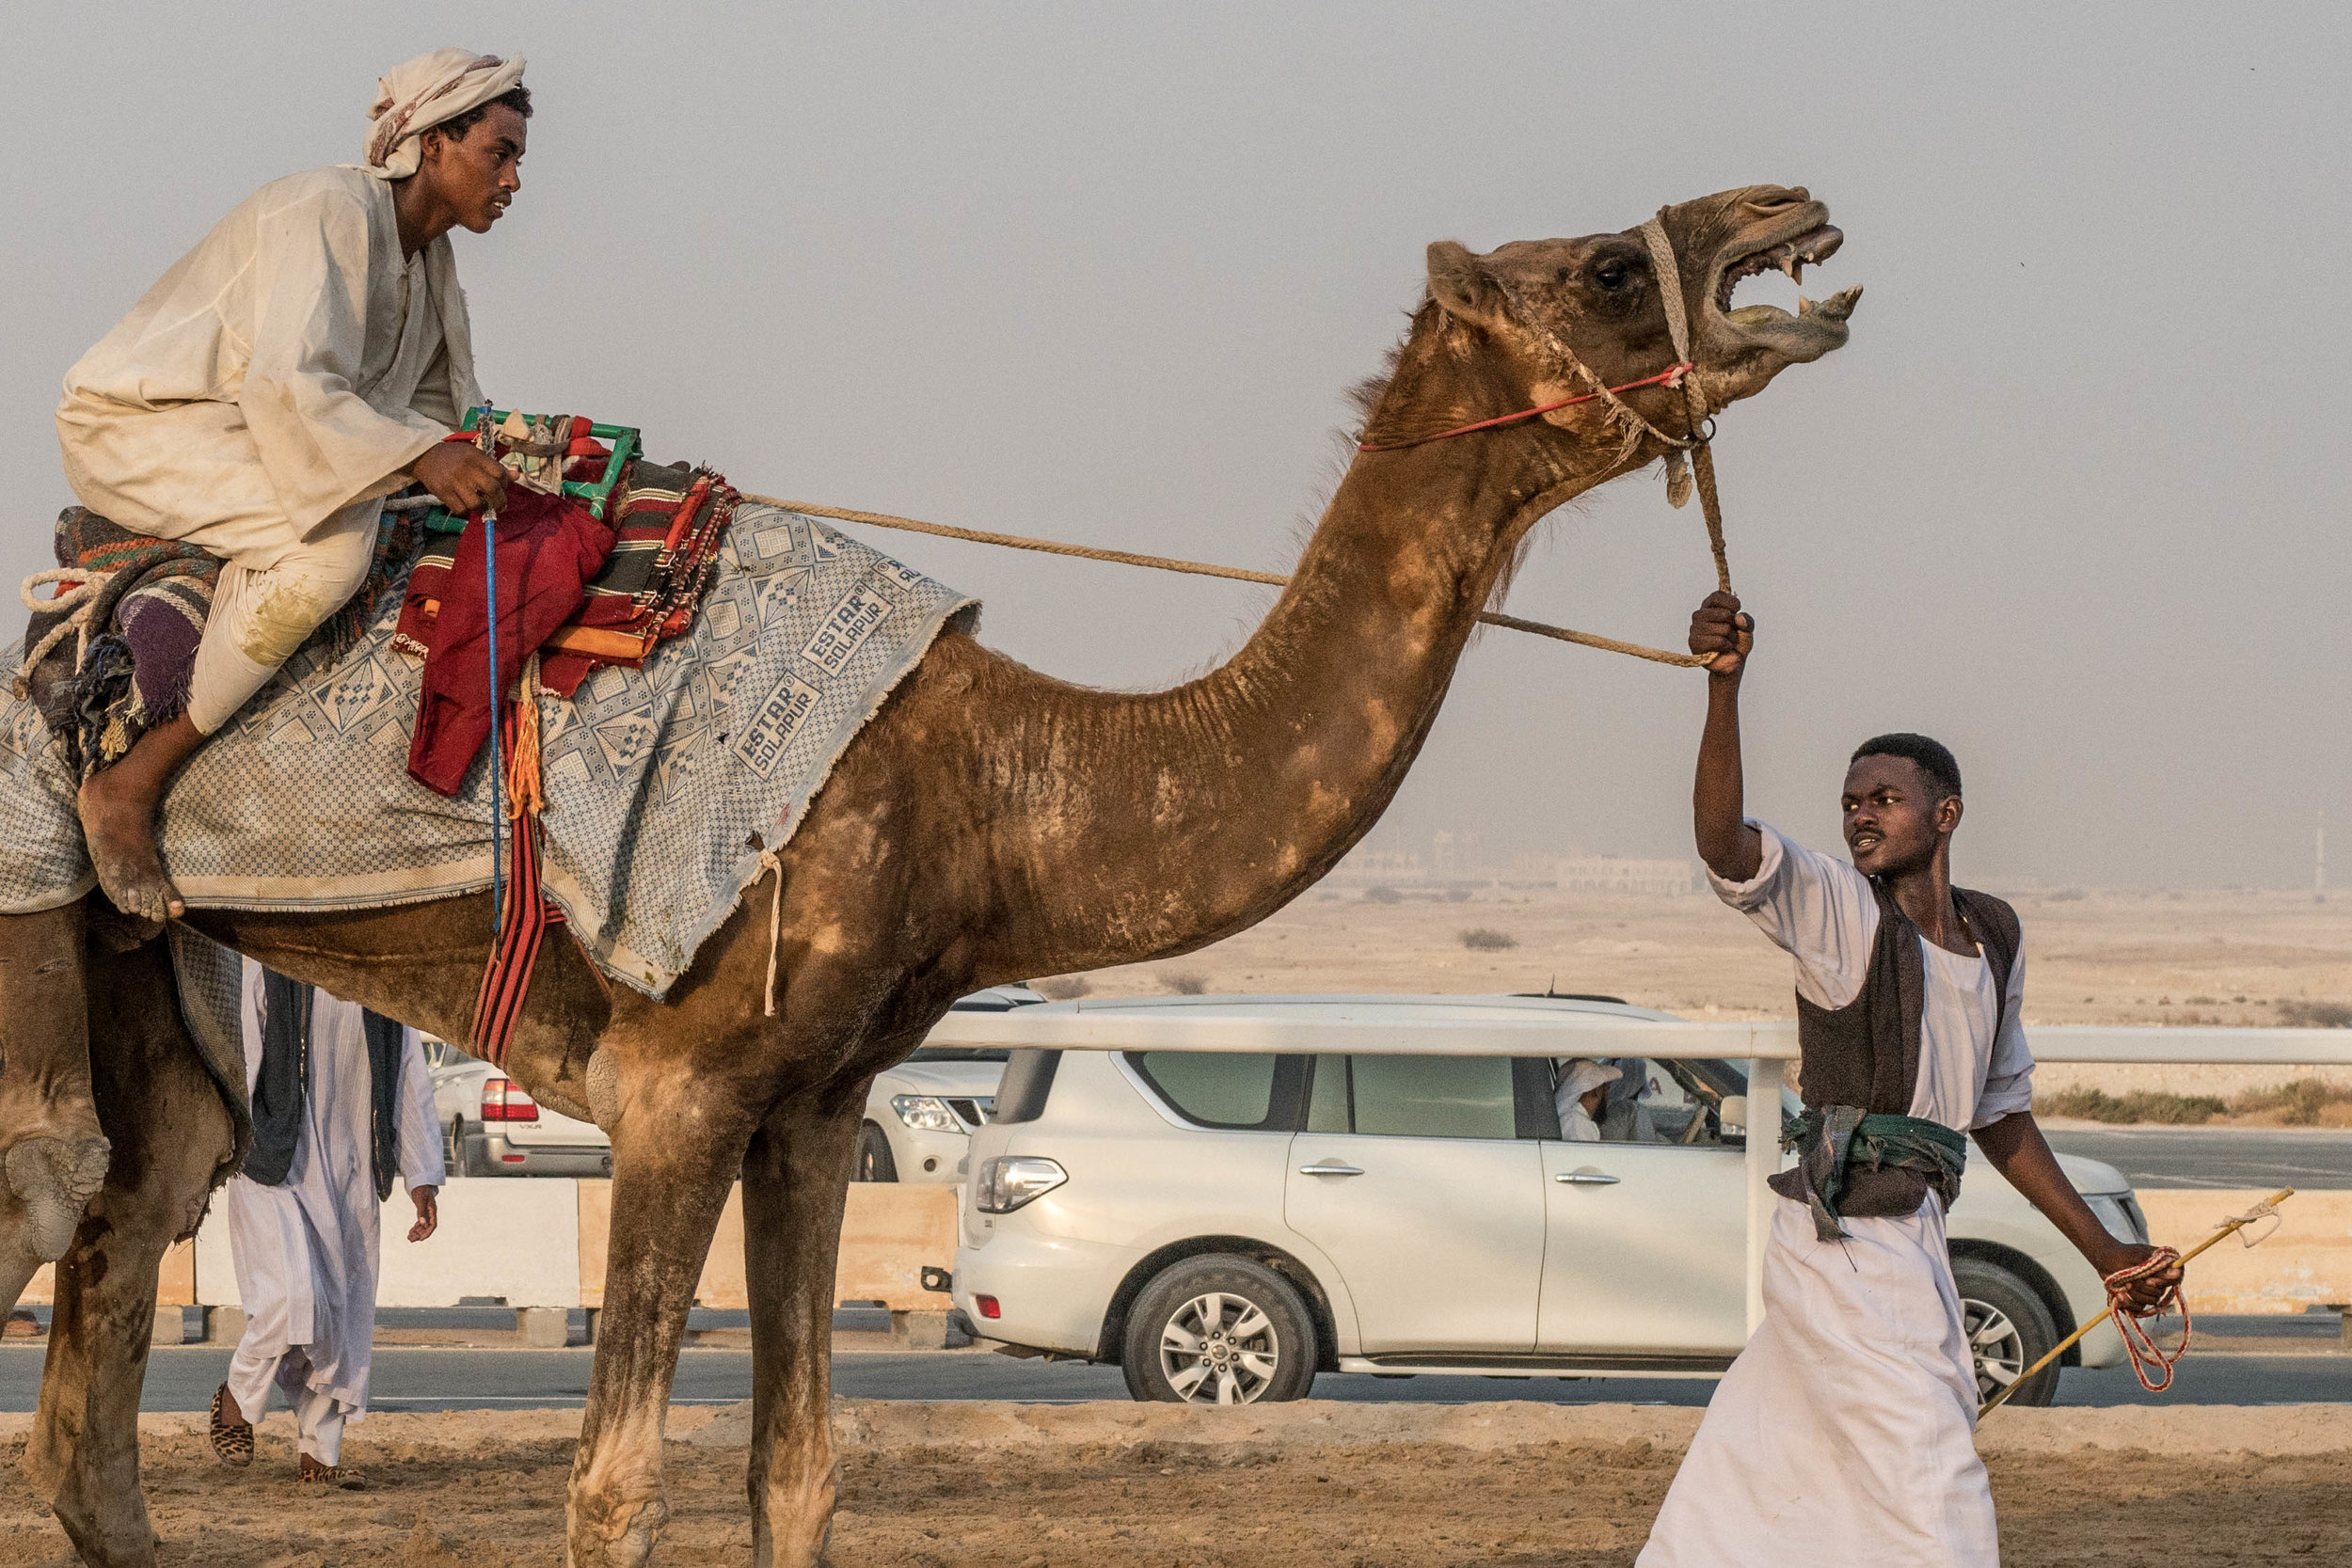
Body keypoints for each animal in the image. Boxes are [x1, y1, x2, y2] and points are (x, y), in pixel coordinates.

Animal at [2, 184, 1856, 1566]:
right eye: (1610, 267)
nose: (1786, 215)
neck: (995, 790)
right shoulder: (679, 1082)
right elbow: (617, 1484)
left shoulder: (814, 1102)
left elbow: (800, 1471)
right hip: (34, 912)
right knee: (60, 1186)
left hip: (144, 960)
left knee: (133, 1233)